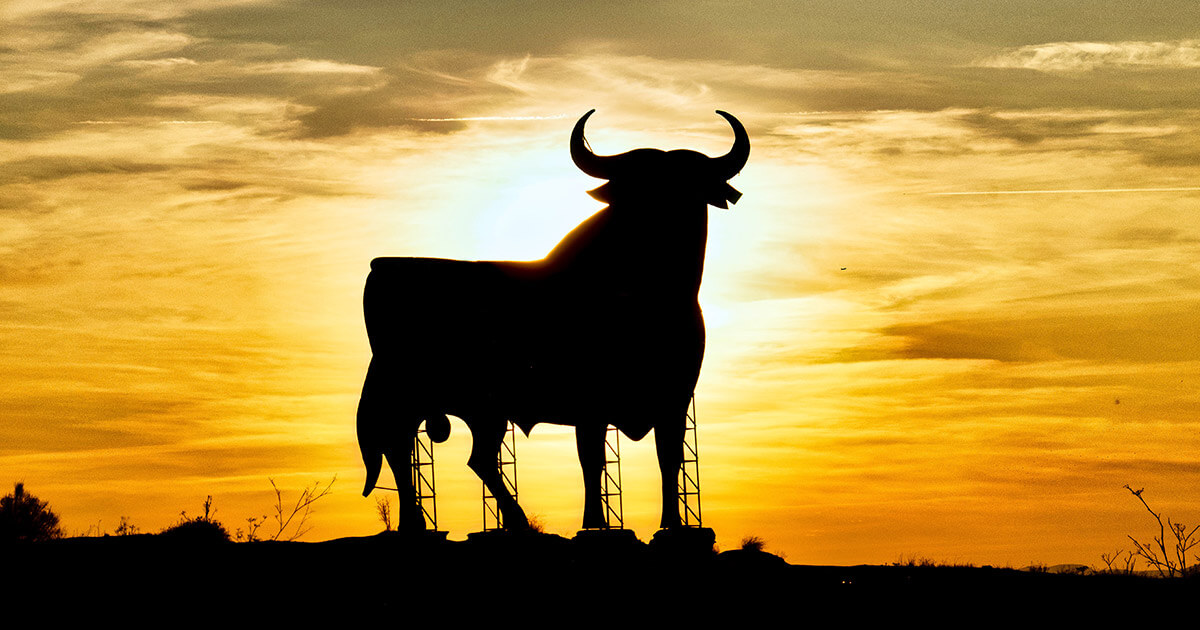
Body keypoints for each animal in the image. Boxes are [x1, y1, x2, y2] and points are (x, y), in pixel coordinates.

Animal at [356, 109, 749, 532]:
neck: (650, 293)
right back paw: (430, 523)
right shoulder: (591, 403)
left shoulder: (673, 399)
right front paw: (595, 523)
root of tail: (380, 267)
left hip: (478, 411)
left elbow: (669, 459)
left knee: (466, 457)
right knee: (401, 448)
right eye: (634, 187)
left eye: (688, 185)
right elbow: (592, 461)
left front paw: (672, 523)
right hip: (408, 392)